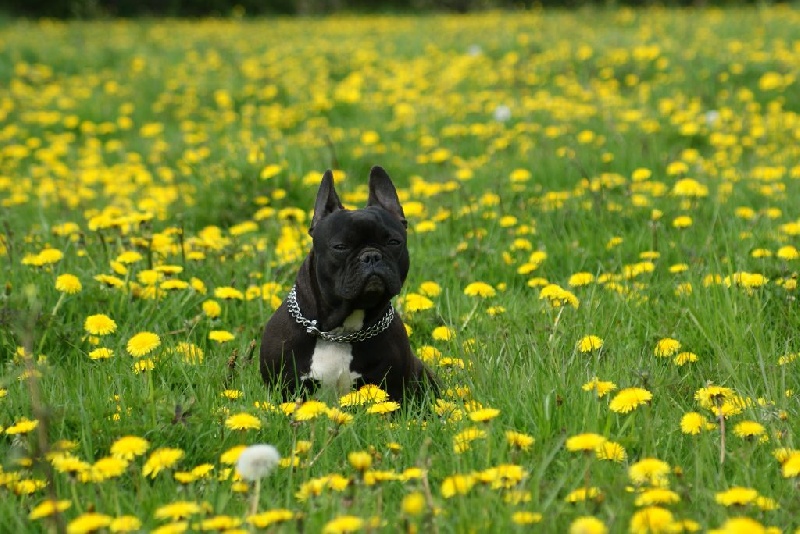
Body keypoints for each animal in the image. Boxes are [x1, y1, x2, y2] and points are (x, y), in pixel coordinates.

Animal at [260, 166, 438, 402]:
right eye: (340, 246)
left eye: (394, 242)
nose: (371, 256)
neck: (339, 332)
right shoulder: (286, 388)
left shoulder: (390, 387)